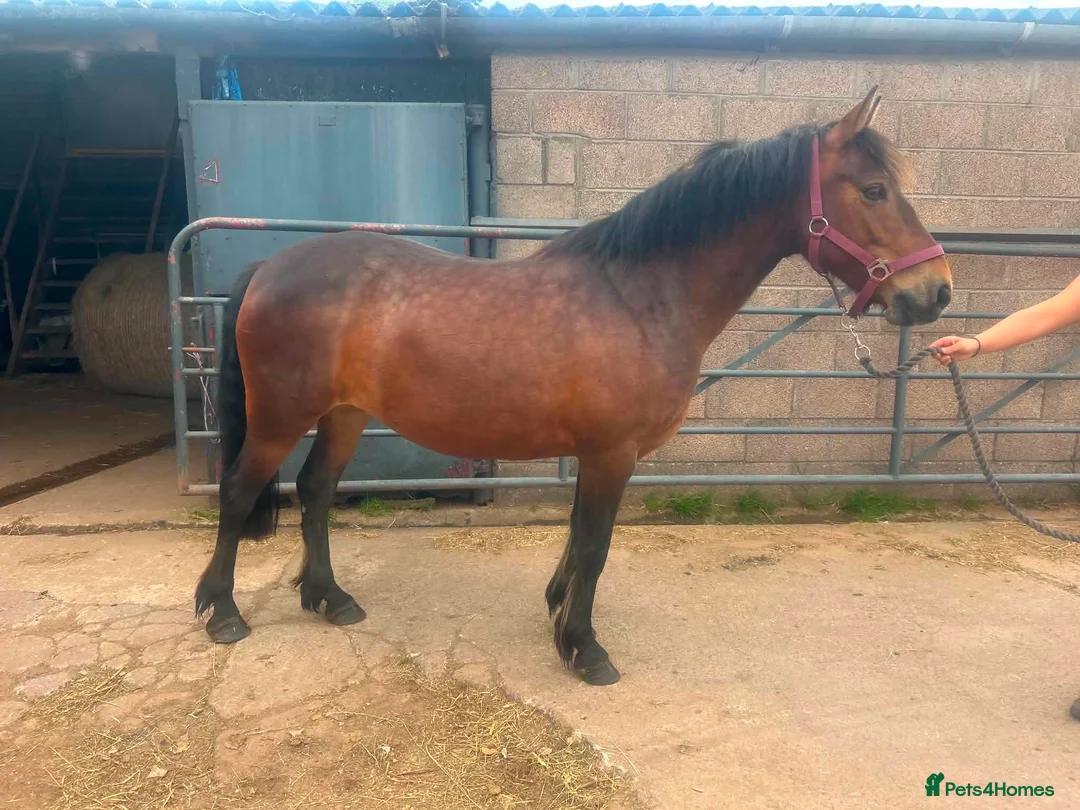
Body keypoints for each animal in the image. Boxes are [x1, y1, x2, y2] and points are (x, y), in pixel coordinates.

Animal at [194, 88, 953, 686]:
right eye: (875, 190)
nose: (936, 292)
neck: (639, 295)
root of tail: (269, 267)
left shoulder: (598, 453)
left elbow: (577, 538)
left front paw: (559, 610)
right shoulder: (612, 451)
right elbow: (595, 543)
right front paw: (584, 648)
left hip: (345, 414)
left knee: (316, 491)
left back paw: (330, 598)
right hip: (279, 418)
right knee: (237, 492)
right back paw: (222, 612)